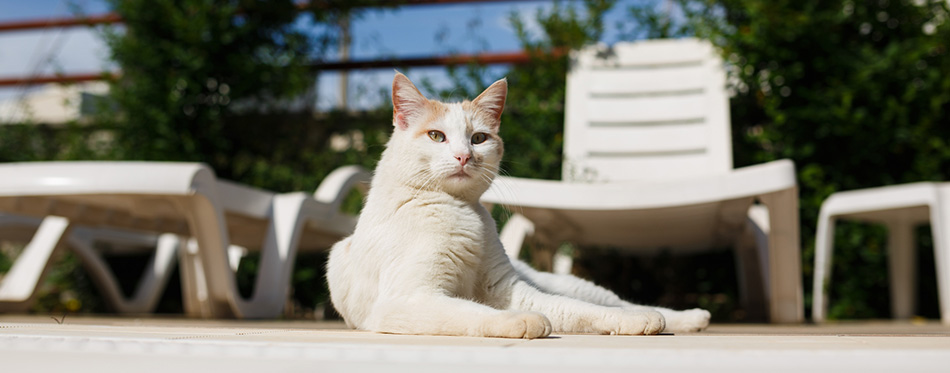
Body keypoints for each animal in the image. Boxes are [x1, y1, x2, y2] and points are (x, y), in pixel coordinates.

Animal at [324, 70, 712, 338]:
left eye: (479, 138)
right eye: (436, 136)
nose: (464, 156)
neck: (464, 211)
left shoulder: (511, 289)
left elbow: (575, 310)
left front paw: (631, 322)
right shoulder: (409, 299)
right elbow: (471, 312)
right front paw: (520, 322)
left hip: (567, 284)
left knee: (616, 301)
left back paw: (688, 317)